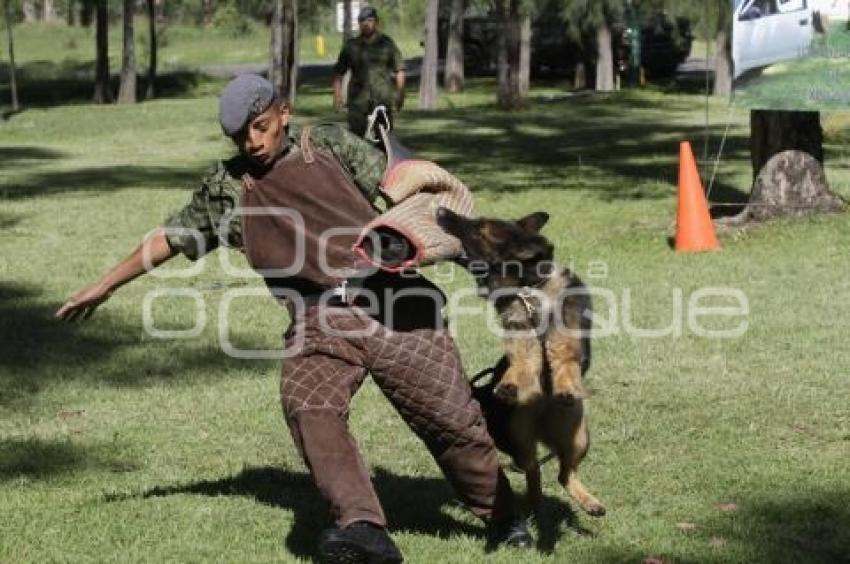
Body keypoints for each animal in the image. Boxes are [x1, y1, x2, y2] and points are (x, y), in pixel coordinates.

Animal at [438, 206, 604, 520]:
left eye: (480, 229)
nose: (440, 210)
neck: (531, 289)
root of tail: (542, 430)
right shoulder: (521, 341)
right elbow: (522, 363)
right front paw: (510, 383)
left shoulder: (567, 341)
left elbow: (565, 360)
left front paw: (565, 387)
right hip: (519, 434)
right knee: (534, 469)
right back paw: (535, 507)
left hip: (578, 435)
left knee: (564, 473)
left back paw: (589, 501)